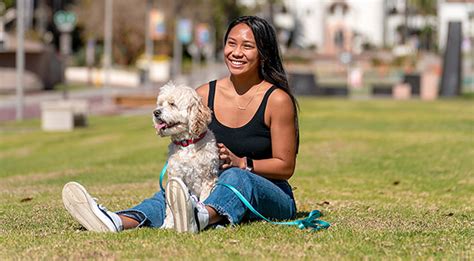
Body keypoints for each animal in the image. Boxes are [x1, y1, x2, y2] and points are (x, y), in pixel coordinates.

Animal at [153, 82, 219, 230]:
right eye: (160, 104)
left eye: (172, 104)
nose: (156, 112)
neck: (187, 144)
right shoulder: (176, 175)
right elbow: (169, 207)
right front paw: (168, 224)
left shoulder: (208, 178)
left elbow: (205, 198)